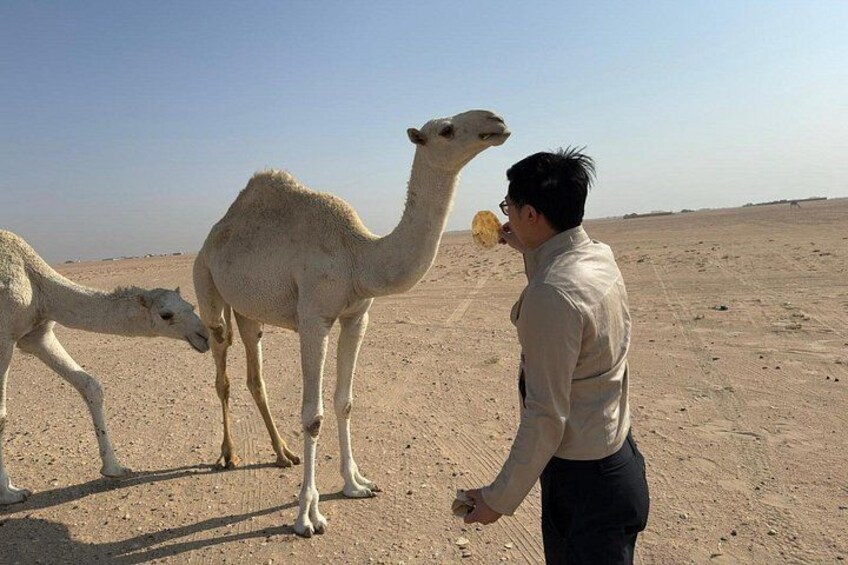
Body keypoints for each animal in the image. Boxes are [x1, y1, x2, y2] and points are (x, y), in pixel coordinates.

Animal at [0, 230, 210, 504]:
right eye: (166, 315)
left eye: (191, 306)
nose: (204, 336)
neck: (39, 288)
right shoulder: (4, 336)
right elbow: (1, 414)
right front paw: (9, 492)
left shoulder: (36, 335)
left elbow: (91, 385)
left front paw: (114, 468)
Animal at [193, 109, 509, 536]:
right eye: (446, 129)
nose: (496, 121)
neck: (358, 256)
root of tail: (211, 237)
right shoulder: (315, 318)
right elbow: (313, 416)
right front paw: (307, 516)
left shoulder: (357, 317)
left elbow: (344, 402)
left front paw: (356, 484)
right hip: (207, 287)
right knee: (221, 369)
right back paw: (228, 455)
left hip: (248, 310)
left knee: (255, 374)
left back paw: (282, 453)